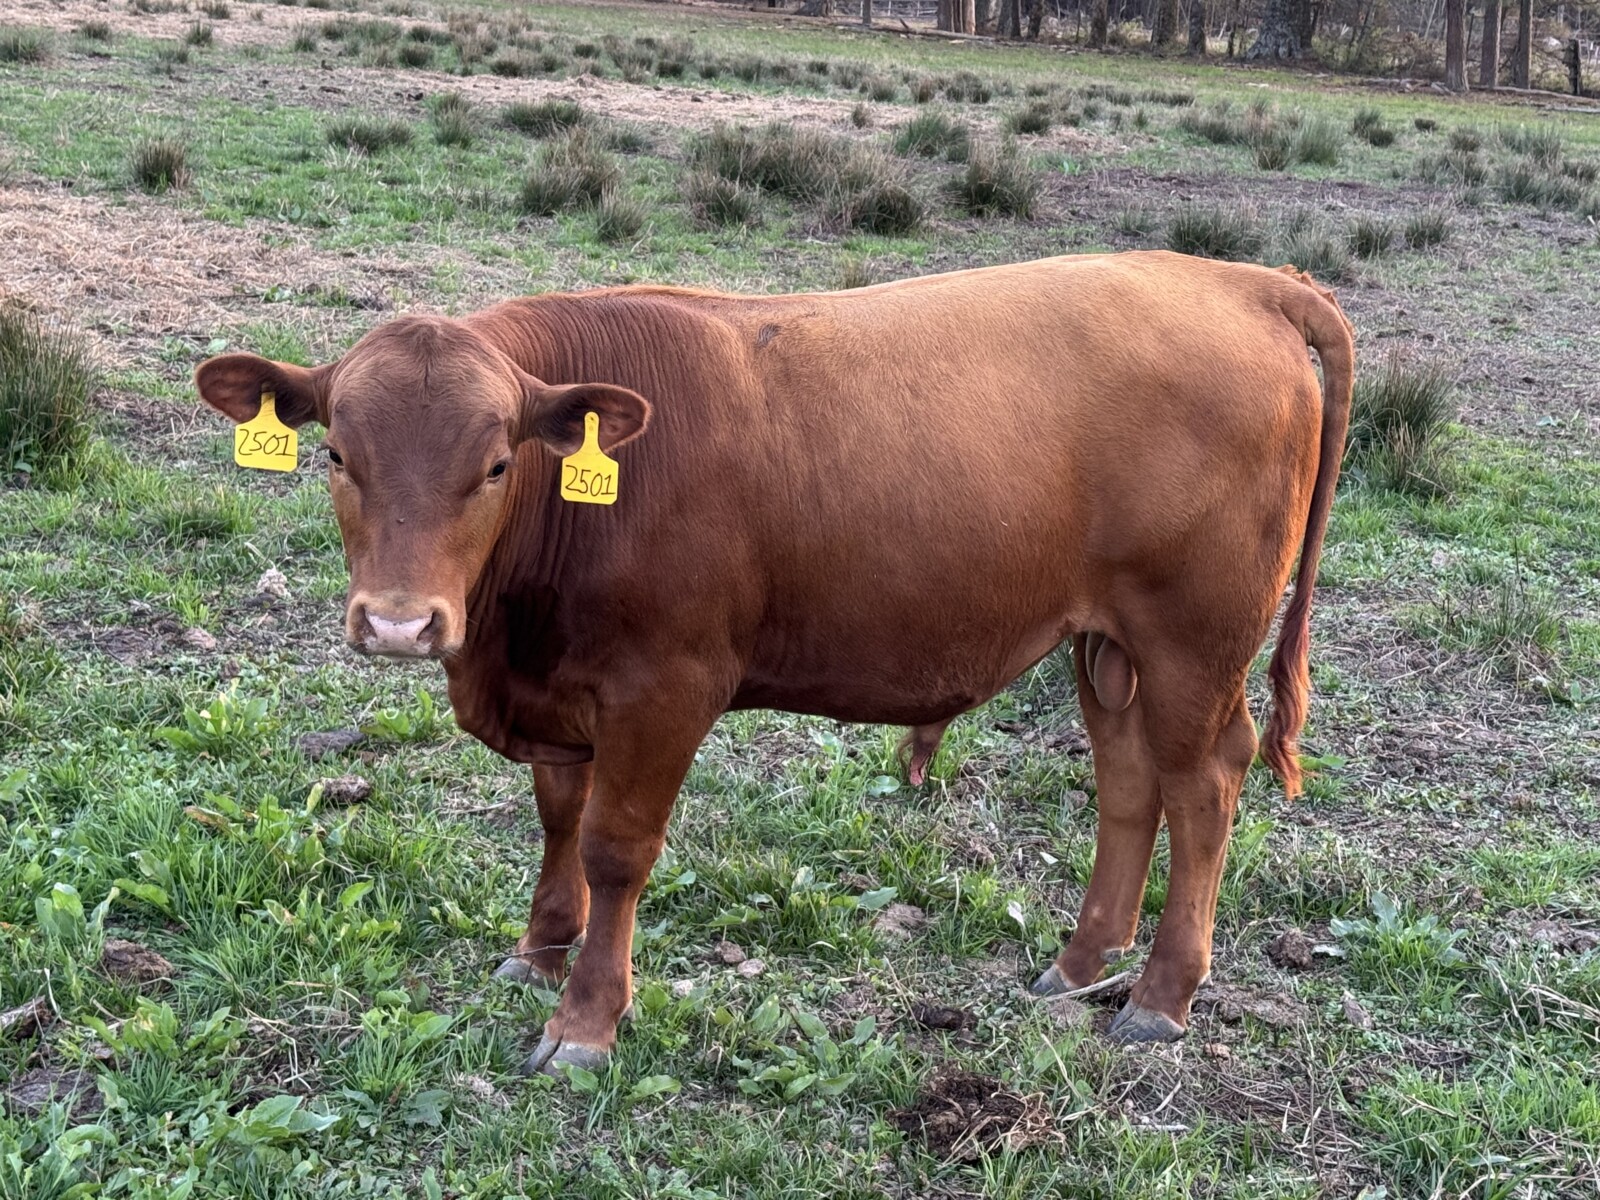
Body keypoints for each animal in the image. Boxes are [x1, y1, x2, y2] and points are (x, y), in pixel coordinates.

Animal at [194, 251, 1353, 1076]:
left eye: (491, 465)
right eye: (338, 454)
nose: (399, 626)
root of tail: (1235, 278)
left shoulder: (665, 688)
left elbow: (615, 848)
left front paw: (586, 1020)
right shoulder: (562, 693)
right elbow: (559, 821)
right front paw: (538, 952)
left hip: (1193, 639)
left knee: (1203, 784)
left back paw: (1161, 998)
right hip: (1107, 640)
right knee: (1127, 781)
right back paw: (1076, 963)